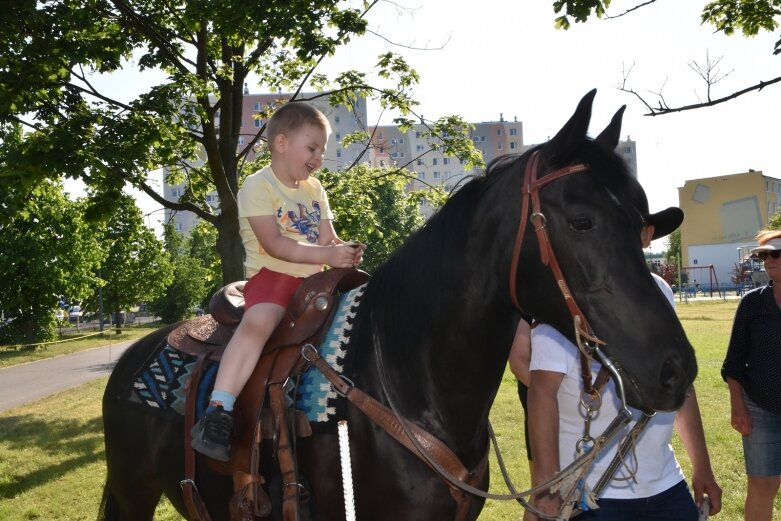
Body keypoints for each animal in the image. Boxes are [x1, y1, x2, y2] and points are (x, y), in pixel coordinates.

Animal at [96, 90, 696, 520]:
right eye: (582, 221)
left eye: (641, 221)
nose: (677, 369)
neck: (406, 382)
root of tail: (133, 357)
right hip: (132, 496)